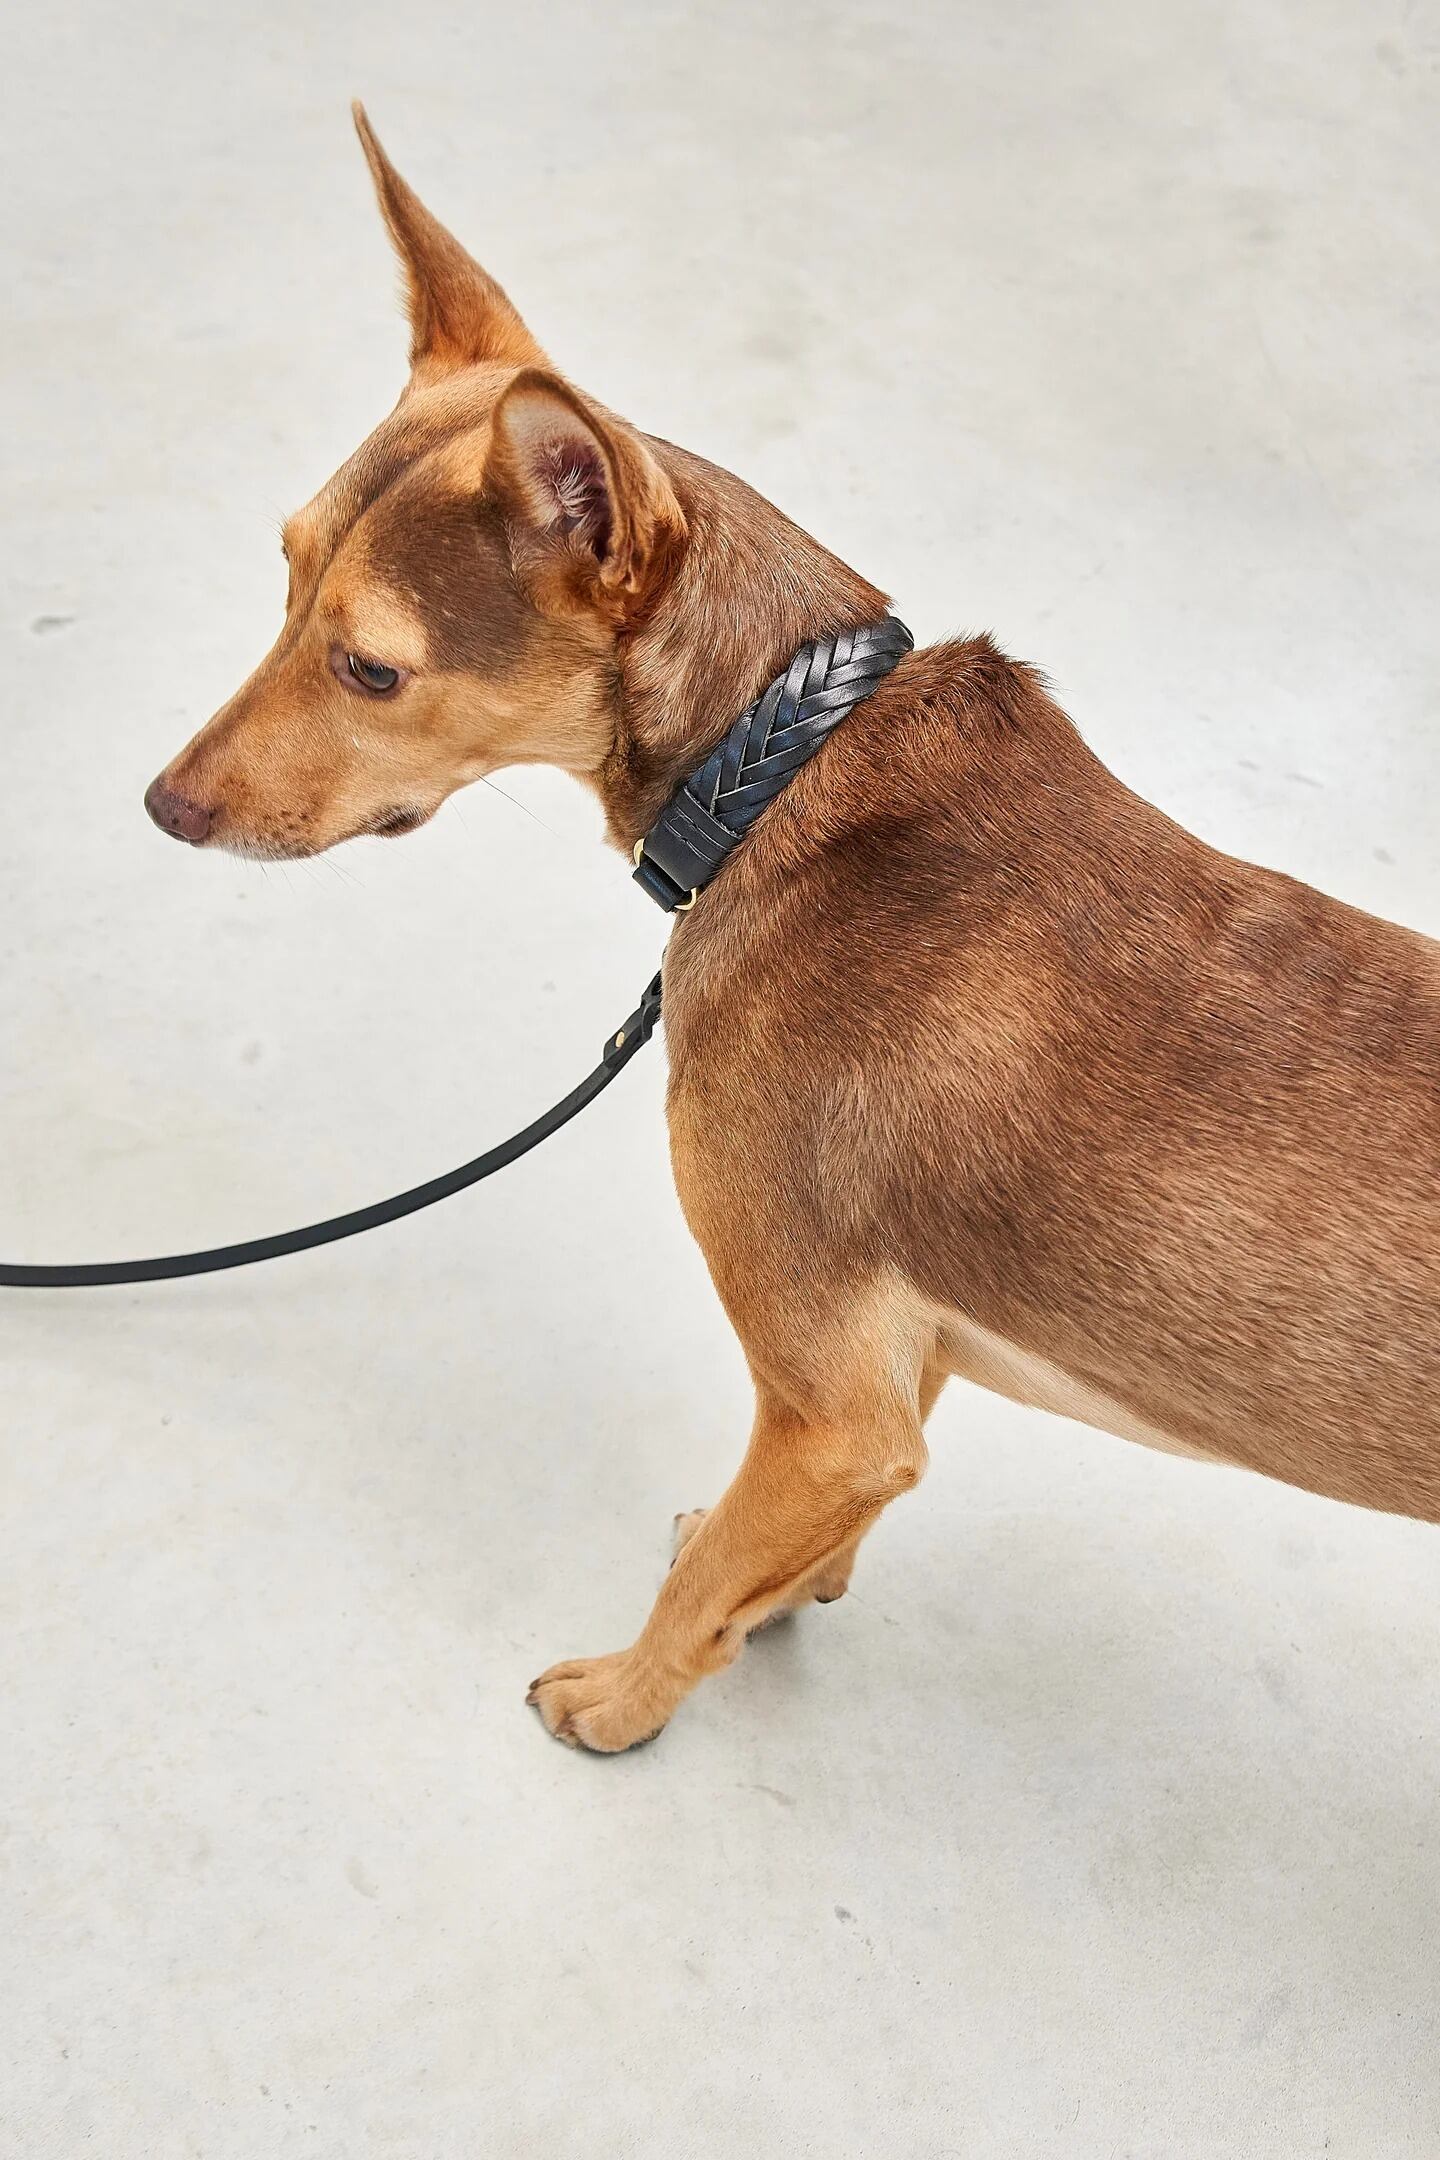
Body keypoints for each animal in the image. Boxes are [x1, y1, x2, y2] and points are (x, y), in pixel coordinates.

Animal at [146, 108, 1440, 1751]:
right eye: (285, 566)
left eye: (371, 668)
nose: (161, 806)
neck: (781, 768)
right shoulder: (898, 1374)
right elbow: (789, 1547)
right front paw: (775, 1588)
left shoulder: (830, 1404)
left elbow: (706, 1590)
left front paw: (624, 1702)